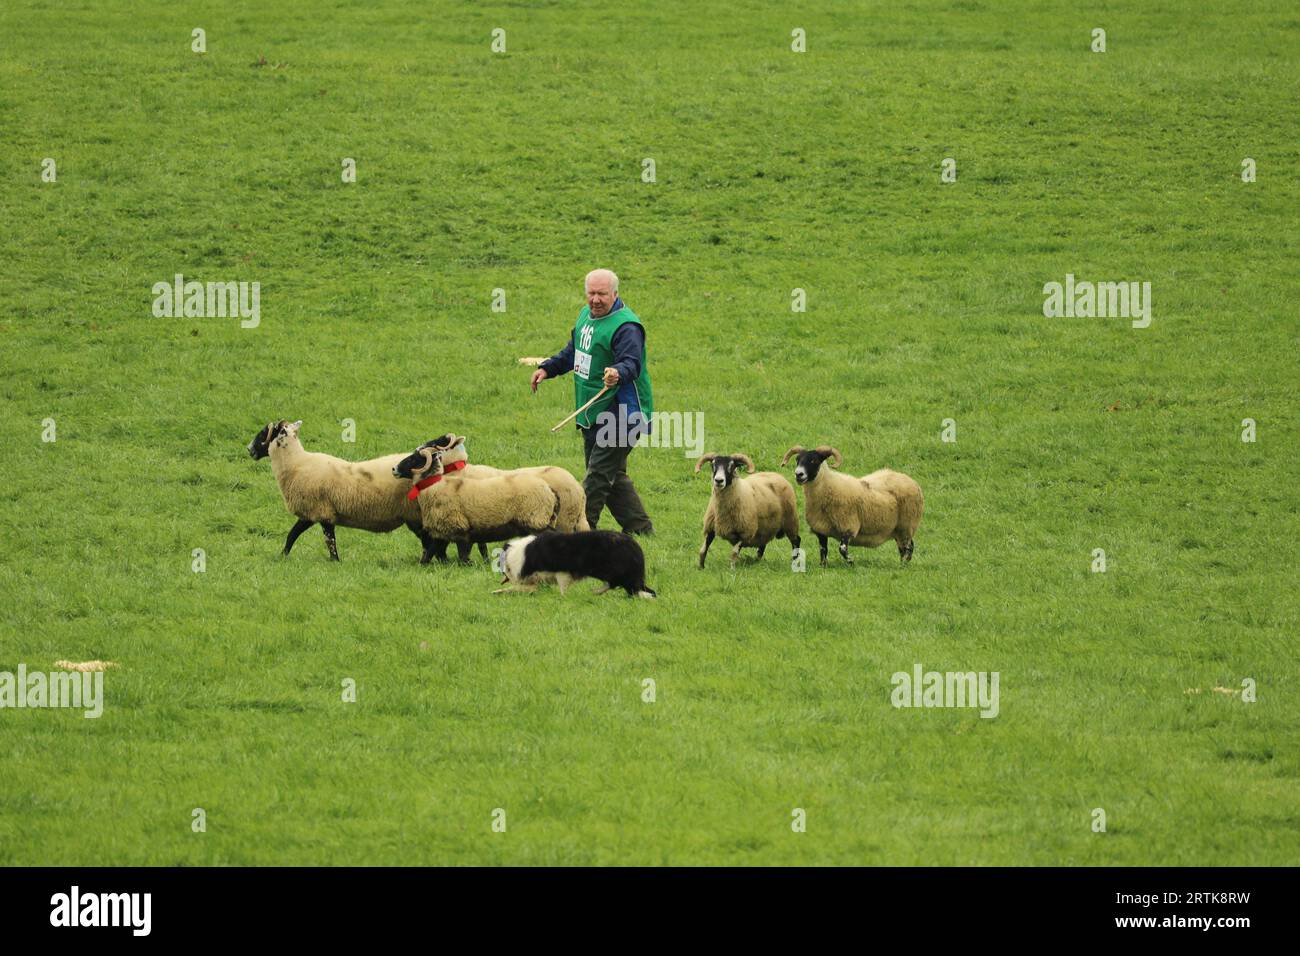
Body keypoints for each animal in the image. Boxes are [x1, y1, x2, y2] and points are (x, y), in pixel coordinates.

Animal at [245, 418, 439, 561]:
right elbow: (294, 534)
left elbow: (324, 539)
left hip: (416, 513)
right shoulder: (313, 513)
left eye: (264, 432)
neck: (296, 464)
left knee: (429, 540)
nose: (249, 449)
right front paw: (283, 556)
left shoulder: (320, 510)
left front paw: (334, 561)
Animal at [392, 444, 561, 564]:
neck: (435, 486)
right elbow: (430, 553)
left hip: (535, 520)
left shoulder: (458, 527)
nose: (394, 469)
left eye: (413, 459)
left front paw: (468, 564)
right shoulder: (441, 530)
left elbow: (462, 554)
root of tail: (550, 490)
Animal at [496, 530, 660, 598]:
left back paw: (595, 592)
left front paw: (563, 598)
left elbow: (563, 589)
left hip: (616, 572)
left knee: (620, 585)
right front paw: (499, 592)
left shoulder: (562, 572)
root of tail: (636, 549)